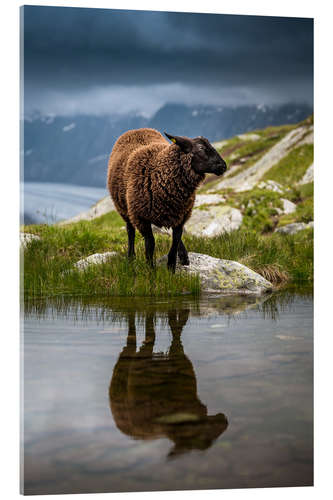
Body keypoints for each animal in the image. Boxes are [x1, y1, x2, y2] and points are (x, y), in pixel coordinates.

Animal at [107, 127, 227, 272]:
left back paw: (184, 256)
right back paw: (131, 257)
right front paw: (150, 269)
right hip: (124, 208)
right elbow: (150, 244)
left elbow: (175, 242)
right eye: (201, 148)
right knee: (130, 231)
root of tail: (136, 130)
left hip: (170, 214)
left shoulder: (181, 216)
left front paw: (171, 269)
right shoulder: (141, 217)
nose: (223, 166)